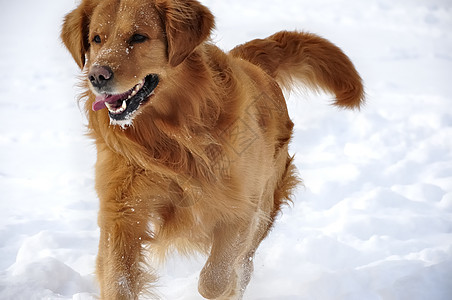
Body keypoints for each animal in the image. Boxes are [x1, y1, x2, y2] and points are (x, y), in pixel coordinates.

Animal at [61, 0, 364, 298]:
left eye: (138, 37)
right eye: (96, 39)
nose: (97, 75)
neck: (169, 138)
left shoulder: (241, 207)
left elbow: (214, 279)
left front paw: (227, 287)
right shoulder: (122, 211)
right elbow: (118, 279)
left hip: (267, 200)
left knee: (246, 261)